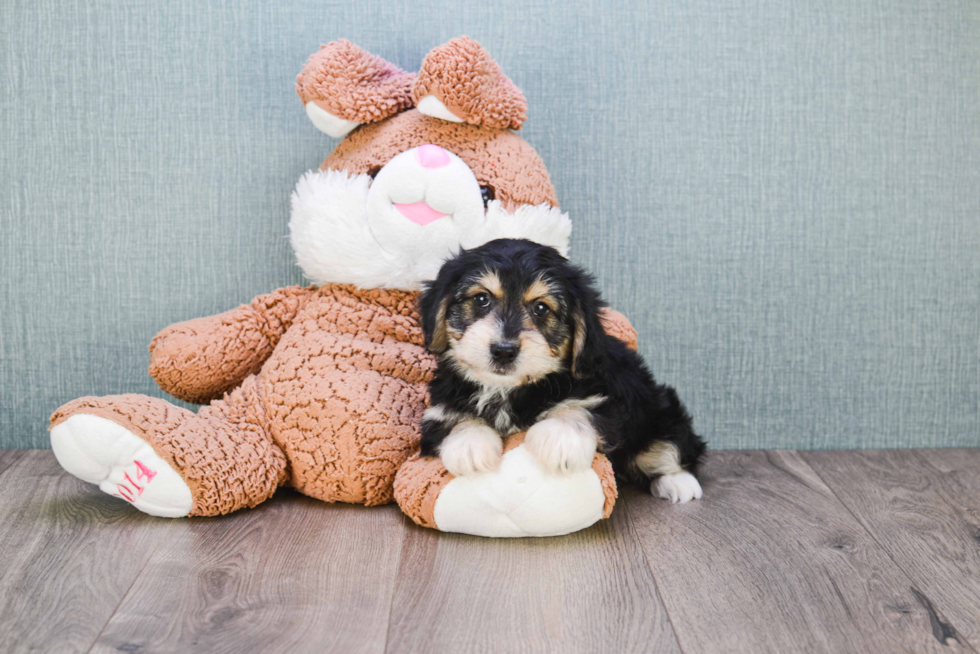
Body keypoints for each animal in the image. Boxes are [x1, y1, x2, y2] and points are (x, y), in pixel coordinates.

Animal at [418, 238, 708, 504]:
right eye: (481, 299)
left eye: (541, 308)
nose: (503, 350)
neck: (508, 388)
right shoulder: (439, 406)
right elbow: (453, 418)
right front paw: (470, 445)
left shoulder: (608, 398)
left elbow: (581, 408)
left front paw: (560, 437)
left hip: (659, 409)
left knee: (670, 447)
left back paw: (679, 482)